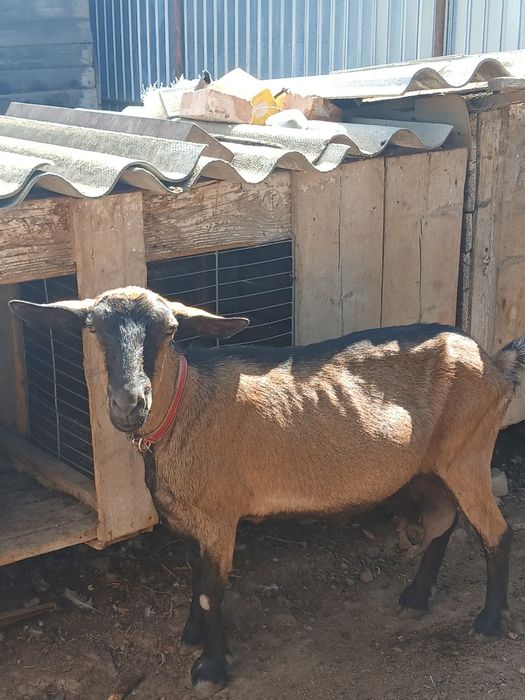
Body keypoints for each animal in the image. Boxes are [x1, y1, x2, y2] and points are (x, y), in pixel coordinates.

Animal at [10, 286, 524, 697]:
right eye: (94, 328)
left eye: (171, 330)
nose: (129, 403)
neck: (183, 411)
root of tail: (495, 362)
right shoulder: (194, 520)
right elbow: (194, 576)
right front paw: (192, 635)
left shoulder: (219, 517)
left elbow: (209, 590)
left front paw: (211, 669)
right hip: (425, 467)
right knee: (443, 520)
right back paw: (416, 598)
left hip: (468, 452)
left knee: (496, 530)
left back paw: (489, 621)